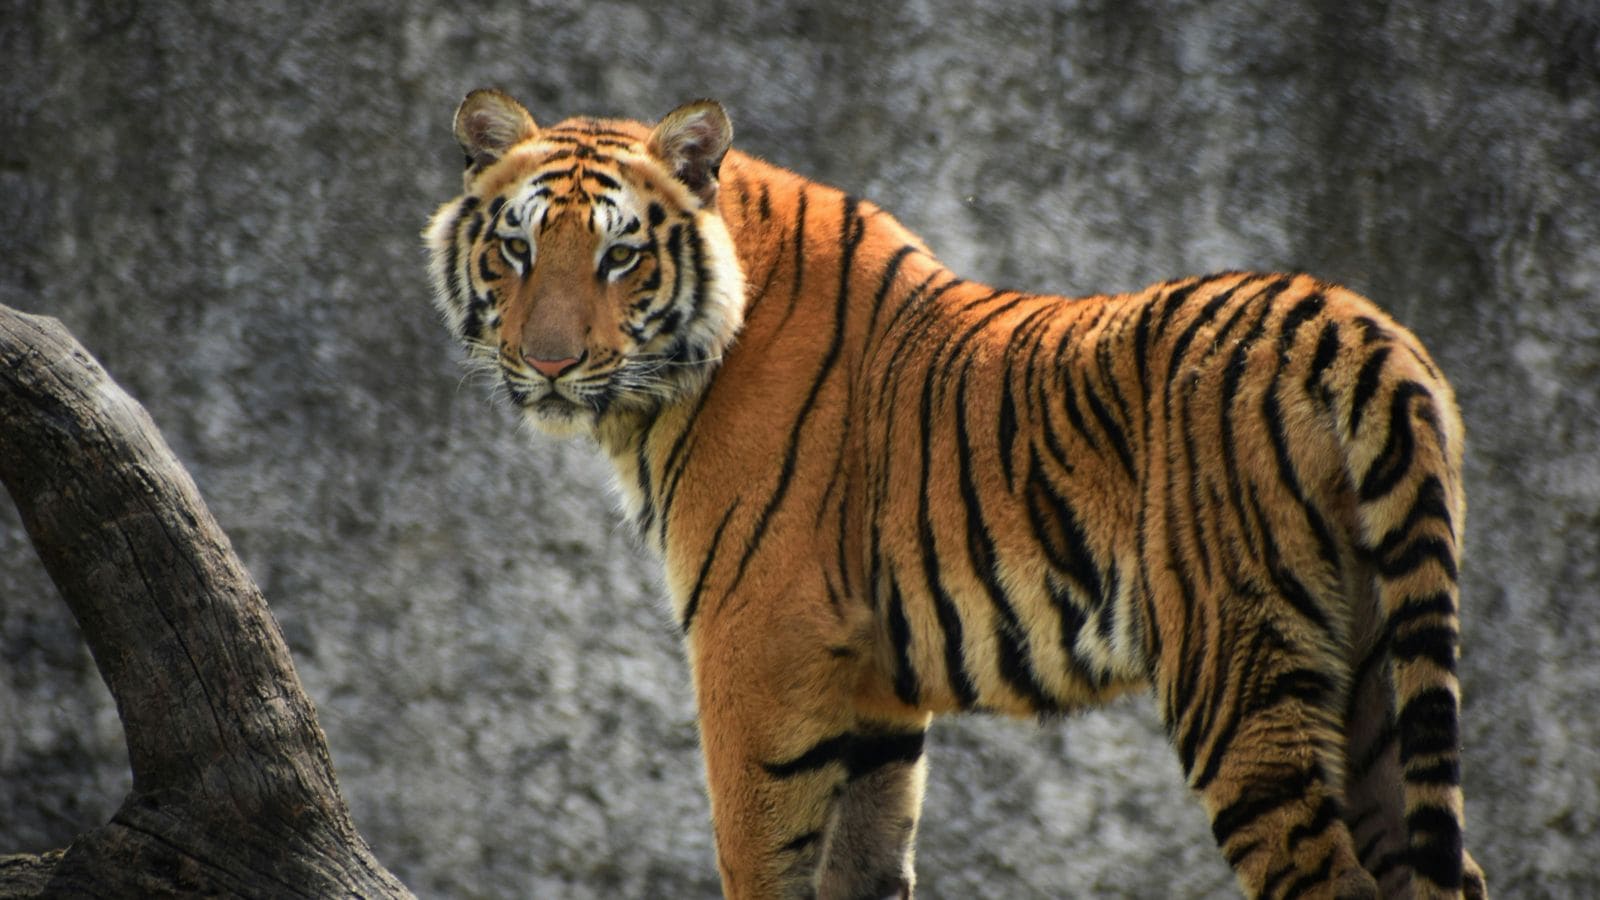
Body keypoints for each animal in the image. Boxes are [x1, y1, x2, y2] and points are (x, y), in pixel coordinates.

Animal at [425, 88, 1487, 900]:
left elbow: (759, 857)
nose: (549, 364)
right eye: (518, 251)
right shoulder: (872, 686)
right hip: (1377, 669)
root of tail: (1357, 328)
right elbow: (863, 865)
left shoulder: (754, 641)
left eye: (620, 256)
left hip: (1238, 668)